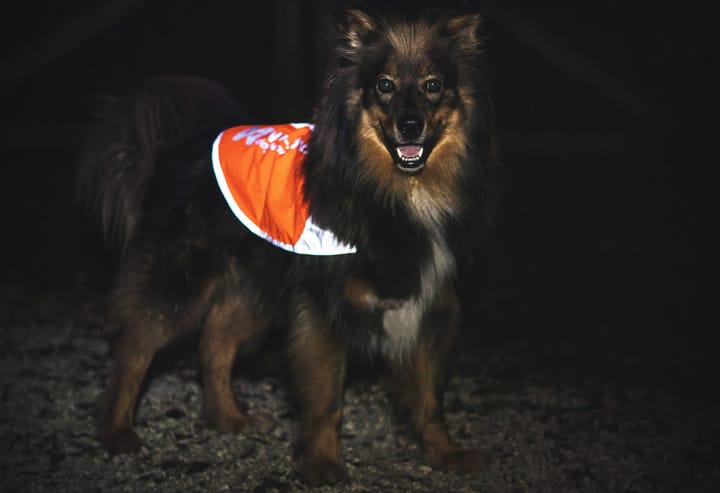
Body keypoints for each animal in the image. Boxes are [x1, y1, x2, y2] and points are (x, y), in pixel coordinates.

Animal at [77, 8, 496, 484]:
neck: (395, 192)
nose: (410, 125)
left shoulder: (427, 305)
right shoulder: (324, 308)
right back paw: (116, 432)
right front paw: (324, 463)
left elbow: (429, 398)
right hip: (179, 281)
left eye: (433, 85)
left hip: (254, 290)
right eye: (384, 86)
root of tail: (171, 151)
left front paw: (445, 453)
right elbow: (328, 398)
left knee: (214, 345)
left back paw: (228, 418)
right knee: (135, 348)